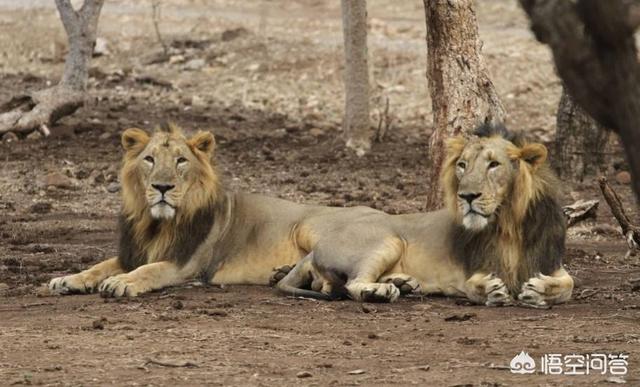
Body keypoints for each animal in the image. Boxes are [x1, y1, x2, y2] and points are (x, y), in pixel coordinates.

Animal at [46, 123, 396, 298]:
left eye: (180, 160)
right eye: (149, 159)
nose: (162, 187)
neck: (157, 224)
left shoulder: (186, 264)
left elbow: (149, 270)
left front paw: (122, 283)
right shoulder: (133, 252)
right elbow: (100, 265)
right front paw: (68, 279)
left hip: (309, 227)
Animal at [272, 125, 572, 310]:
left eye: (494, 164)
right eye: (462, 165)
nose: (467, 196)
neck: (509, 224)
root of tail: (318, 247)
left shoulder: (550, 261)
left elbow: (568, 284)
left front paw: (541, 289)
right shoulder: (466, 272)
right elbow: (474, 285)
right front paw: (490, 290)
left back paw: (401, 283)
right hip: (388, 240)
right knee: (349, 284)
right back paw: (380, 291)